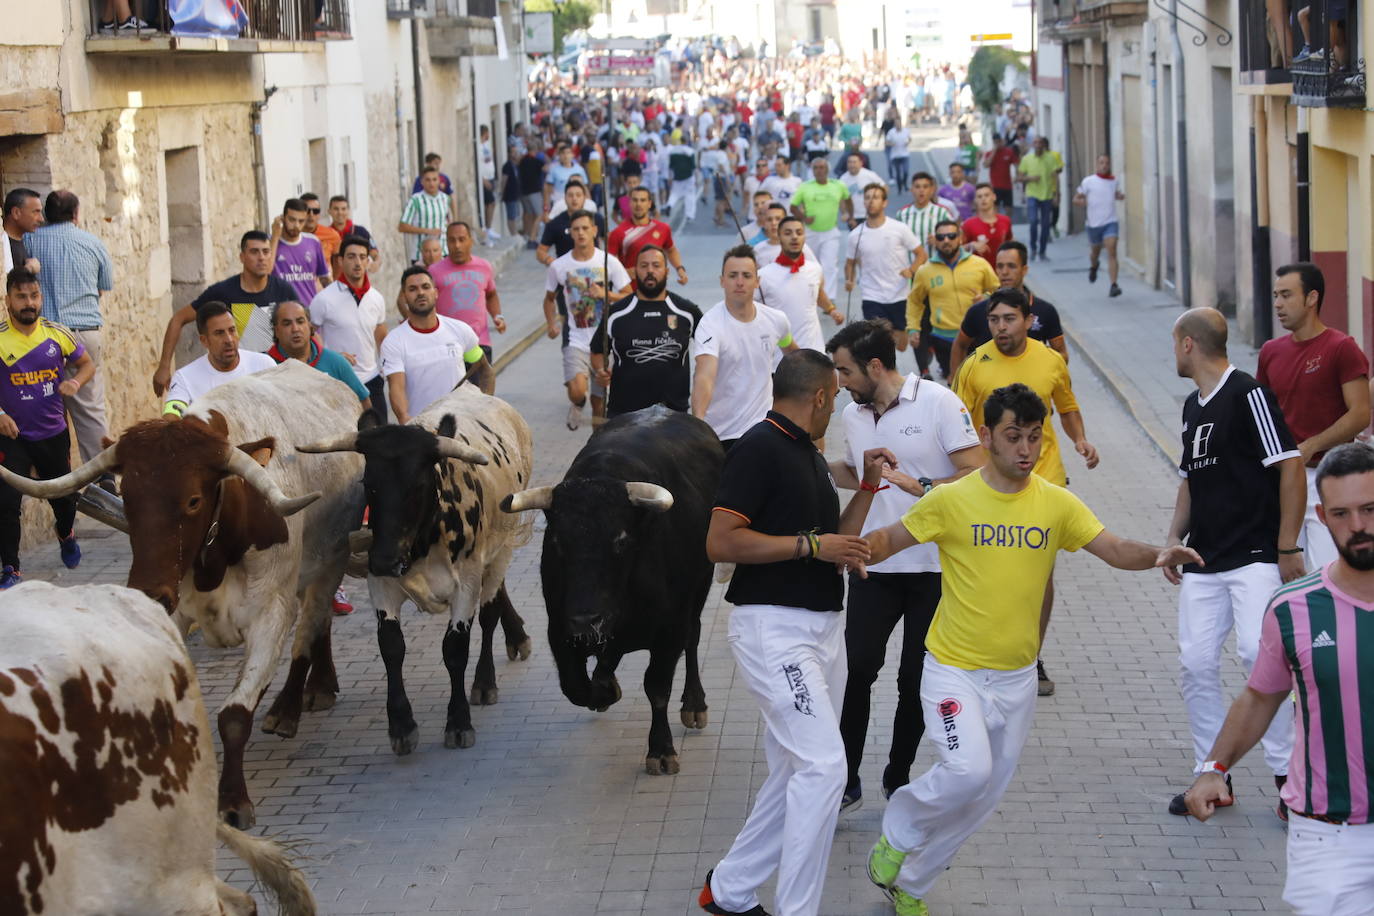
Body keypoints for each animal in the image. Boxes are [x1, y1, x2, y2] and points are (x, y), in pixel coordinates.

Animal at [0, 362, 365, 829]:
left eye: (193, 501)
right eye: (128, 497)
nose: (148, 591)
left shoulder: (271, 612)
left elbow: (234, 714)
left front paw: (232, 801)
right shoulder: (175, 614)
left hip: (331, 560)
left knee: (313, 622)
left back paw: (289, 705)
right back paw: (319, 686)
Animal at [296, 384, 530, 758]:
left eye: (418, 485)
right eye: (368, 482)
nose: (384, 559)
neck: (423, 541)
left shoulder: (466, 584)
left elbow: (455, 649)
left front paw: (459, 722)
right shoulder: (381, 585)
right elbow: (392, 647)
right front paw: (402, 726)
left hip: (501, 551)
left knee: (489, 612)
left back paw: (484, 681)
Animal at [502, 409, 719, 774]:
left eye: (620, 540)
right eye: (557, 542)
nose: (586, 619)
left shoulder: (670, 630)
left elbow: (656, 687)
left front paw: (661, 750)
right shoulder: (559, 629)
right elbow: (575, 686)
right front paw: (605, 691)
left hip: (702, 582)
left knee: (694, 637)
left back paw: (694, 703)